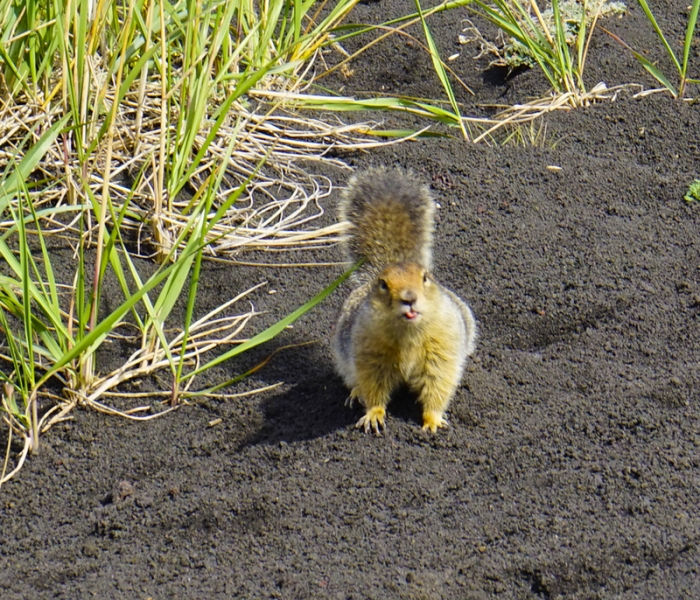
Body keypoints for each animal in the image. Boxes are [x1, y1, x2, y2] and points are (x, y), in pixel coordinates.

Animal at [332, 166, 476, 434]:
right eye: (383, 285)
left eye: (425, 277)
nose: (409, 298)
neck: (409, 331)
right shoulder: (369, 352)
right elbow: (373, 385)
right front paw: (373, 414)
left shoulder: (442, 351)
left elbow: (437, 386)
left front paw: (433, 420)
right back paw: (355, 392)